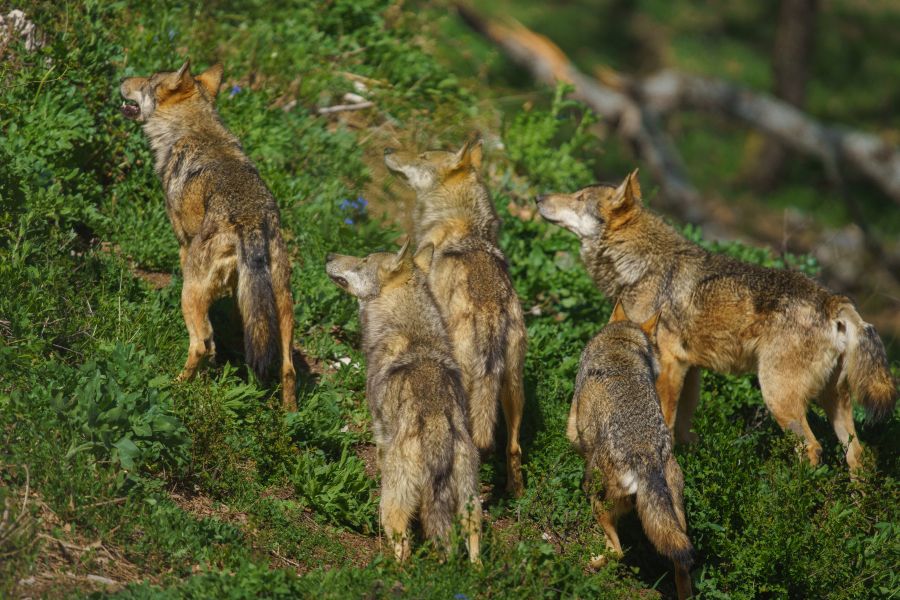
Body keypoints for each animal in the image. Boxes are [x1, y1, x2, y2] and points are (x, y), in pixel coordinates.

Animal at [118, 61, 296, 412]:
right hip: (282, 303)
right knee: (288, 368)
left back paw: (175, 387)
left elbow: (207, 339)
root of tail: (252, 222)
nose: (122, 80)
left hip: (190, 293)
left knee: (198, 344)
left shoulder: (183, 242)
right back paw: (290, 418)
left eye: (148, 81)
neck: (191, 129)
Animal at [322, 239, 478, 564]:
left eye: (363, 260)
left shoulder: (380, 432)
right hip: (471, 503)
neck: (409, 327)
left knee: (402, 545)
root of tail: (436, 425)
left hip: (393, 503)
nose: (328, 255)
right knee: (473, 543)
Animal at [384, 135, 528, 496]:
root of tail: (491, 310)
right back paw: (517, 495)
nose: (388, 150)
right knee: (513, 446)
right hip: (513, 387)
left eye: (422, 156)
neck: (464, 224)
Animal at [536, 170, 896, 474]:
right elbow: (682, 427)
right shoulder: (690, 368)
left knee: (812, 447)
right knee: (858, 455)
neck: (642, 265)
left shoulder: (667, 363)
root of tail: (834, 300)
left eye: (579, 197)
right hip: (832, 401)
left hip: (777, 396)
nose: (539, 197)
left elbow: (664, 418)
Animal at [568, 304, 696, 600]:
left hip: (595, 496)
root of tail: (647, 457)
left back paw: (595, 562)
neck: (622, 346)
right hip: (676, 524)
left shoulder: (574, 423)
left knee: (618, 551)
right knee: (682, 564)